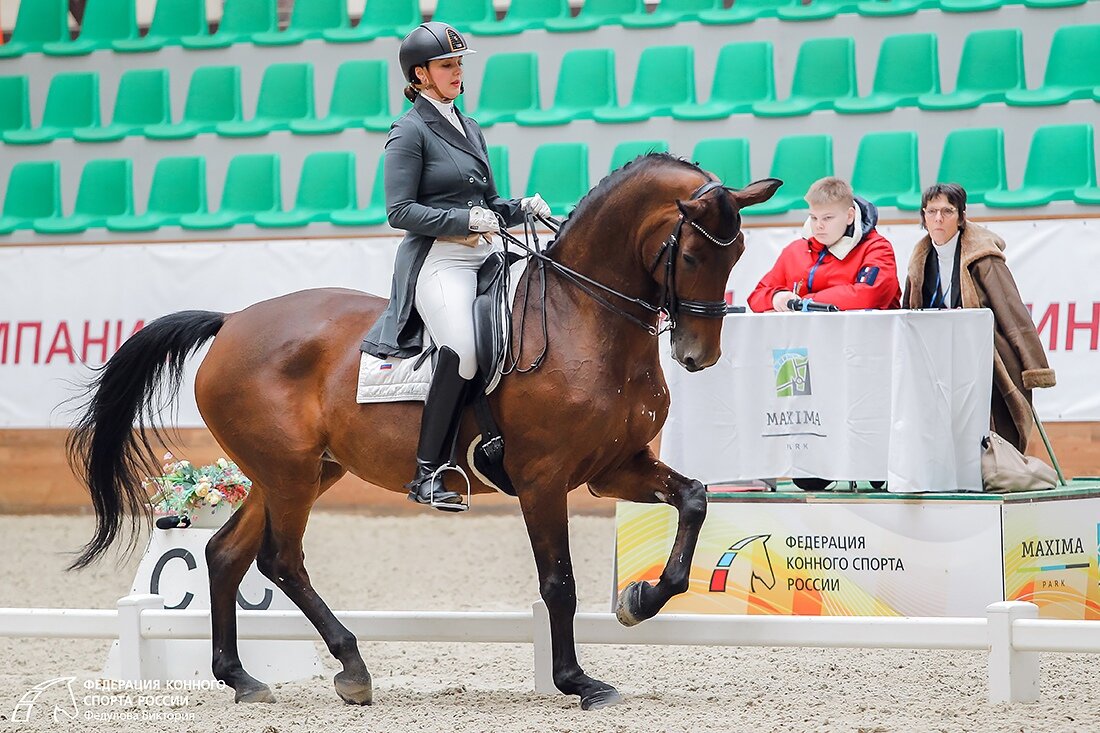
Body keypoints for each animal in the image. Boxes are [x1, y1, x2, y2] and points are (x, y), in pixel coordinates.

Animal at [66, 154, 783, 708]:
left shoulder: (613, 466)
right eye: (691, 251)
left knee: (225, 554)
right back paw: (352, 669)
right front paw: (577, 680)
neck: (584, 316)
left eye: (740, 253)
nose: (699, 355)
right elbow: (559, 582)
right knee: (280, 559)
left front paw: (640, 598)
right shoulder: (543, 478)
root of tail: (232, 321)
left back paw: (241, 678)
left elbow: (694, 499)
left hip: (297, 471)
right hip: (290, 473)